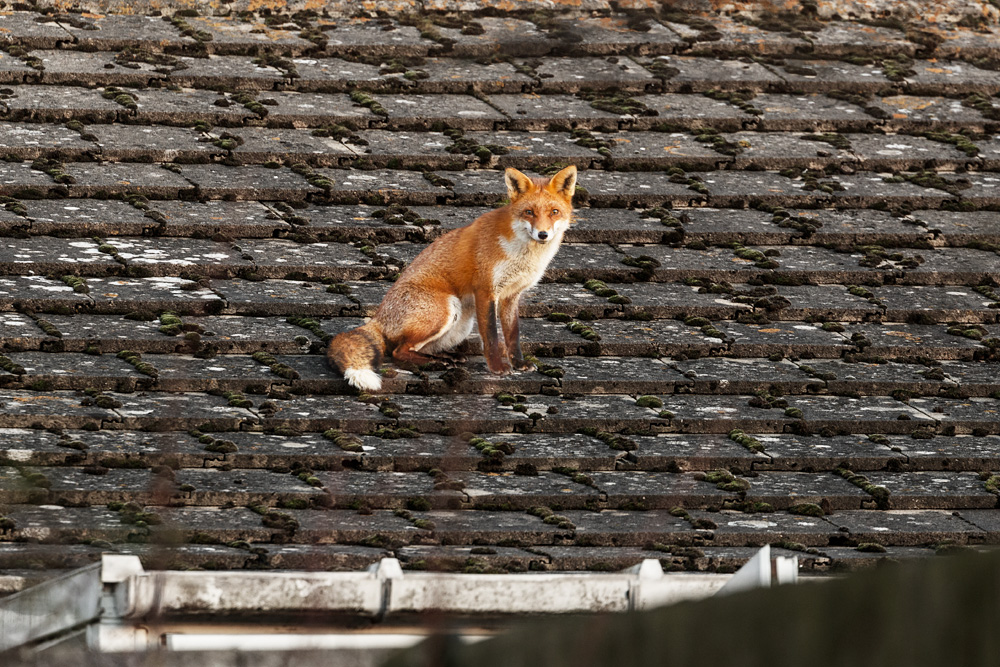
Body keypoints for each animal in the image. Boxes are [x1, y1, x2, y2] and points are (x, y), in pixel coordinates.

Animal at [327, 165, 578, 392]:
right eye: (529, 212)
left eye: (554, 212)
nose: (543, 234)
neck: (522, 254)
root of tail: (378, 318)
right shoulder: (486, 290)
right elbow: (492, 337)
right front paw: (497, 368)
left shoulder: (511, 295)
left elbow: (512, 335)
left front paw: (519, 364)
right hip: (446, 308)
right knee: (399, 351)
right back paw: (436, 364)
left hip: (461, 323)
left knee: (417, 348)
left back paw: (448, 358)